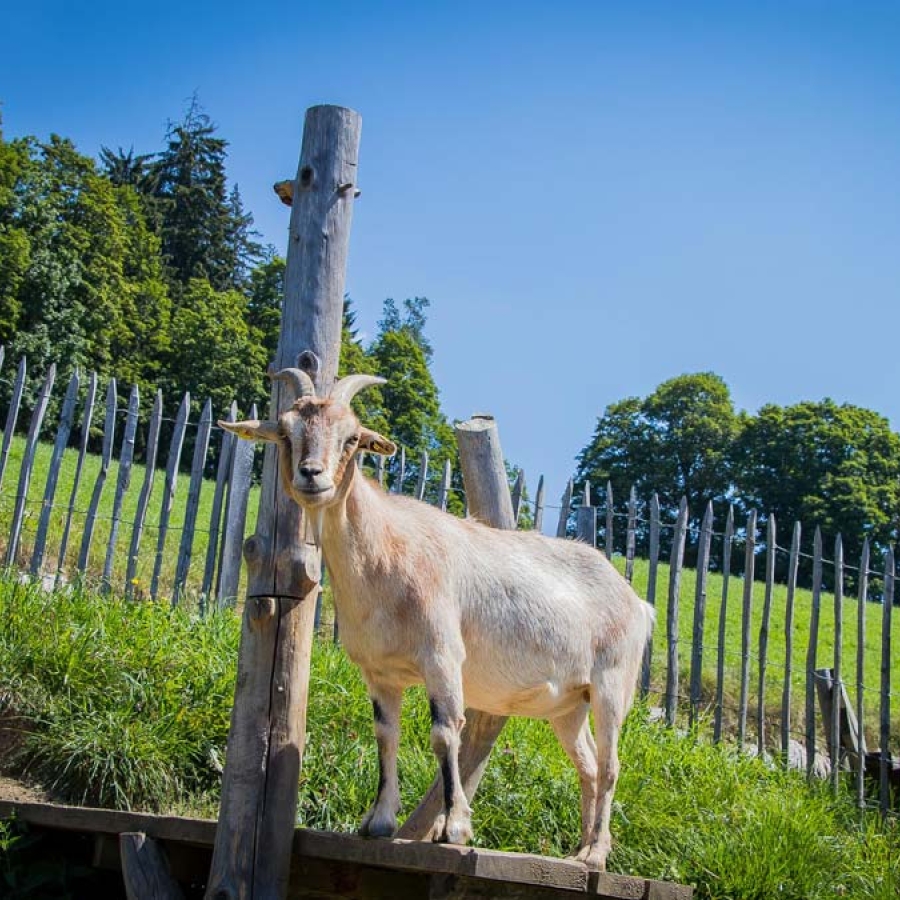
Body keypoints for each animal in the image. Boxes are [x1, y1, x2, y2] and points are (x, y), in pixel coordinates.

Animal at [218, 368, 652, 872]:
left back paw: (596, 855)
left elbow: (445, 734)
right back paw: (578, 850)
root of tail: (638, 603)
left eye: (352, 438)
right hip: (568, 704)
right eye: (286, 433)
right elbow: (385, 735)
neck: (387, 553)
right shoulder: (380, 673)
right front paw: (378, 823)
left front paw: (454, 828)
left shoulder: (442, 656)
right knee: (587, 765)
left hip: (611, 686)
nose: (312, 476)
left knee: (610, 764)